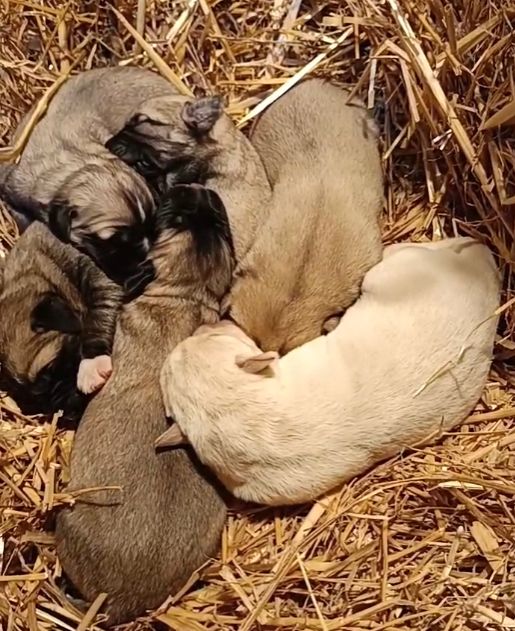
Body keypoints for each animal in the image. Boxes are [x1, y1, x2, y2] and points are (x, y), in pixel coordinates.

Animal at [0, 223, 123, 424]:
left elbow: (99, 313)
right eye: (34, 398)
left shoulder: (99, 278)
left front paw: (92, 363)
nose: (66, 410)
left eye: (51, 367)